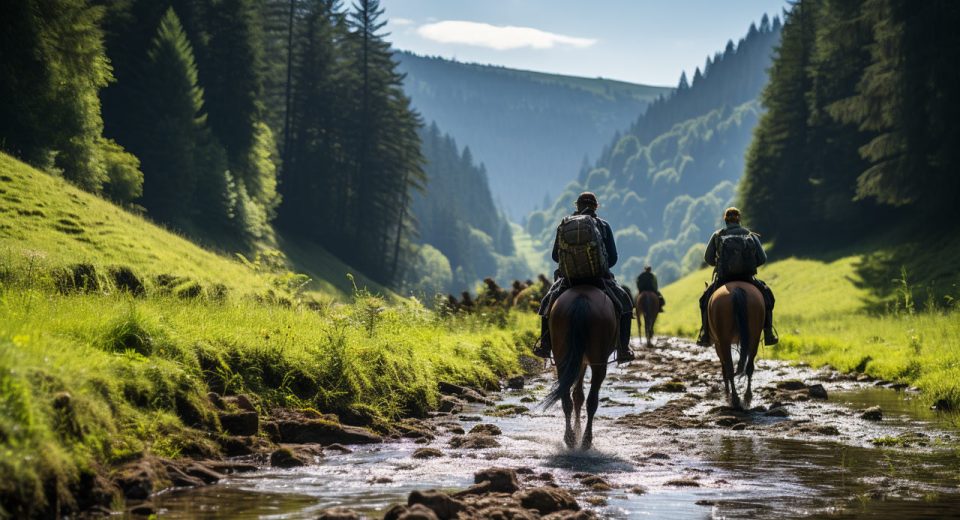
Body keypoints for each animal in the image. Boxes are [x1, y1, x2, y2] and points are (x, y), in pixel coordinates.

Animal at [536, 284, 620, 450]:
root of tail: (581, 299)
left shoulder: (579, 361)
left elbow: (577, 396)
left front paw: (576, 431)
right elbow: (580, 396)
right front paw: (580, 433)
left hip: (563, 358)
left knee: (566, 400)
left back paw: (570, 438)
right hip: (598, 362)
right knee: (592, 401)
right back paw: (586, 440)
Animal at [704, 280, 764, 410]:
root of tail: (737, 289)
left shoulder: (718, 344)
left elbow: (724, 367)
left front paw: (727, 392)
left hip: (724, 340)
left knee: (730, 369)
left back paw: (734, 399)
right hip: (754, 337)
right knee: (749, 367)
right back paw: (747, 397)